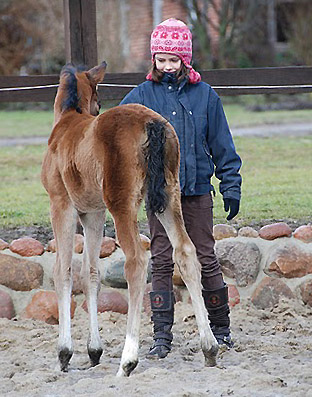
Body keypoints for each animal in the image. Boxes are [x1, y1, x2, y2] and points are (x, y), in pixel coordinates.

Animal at [40, 61, 218, 374]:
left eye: (98, 100)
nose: (97, 108)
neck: (67, 123)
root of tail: (152, 123)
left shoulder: (61, 205)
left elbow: (64, 270)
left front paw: (65, 352)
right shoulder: (93, 213)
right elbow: (91, 273)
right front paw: (94, 350)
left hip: (121, 205)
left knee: (136, 262)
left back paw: (128, 358)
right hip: (168, 197)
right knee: (185, 251)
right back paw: (208, 347)